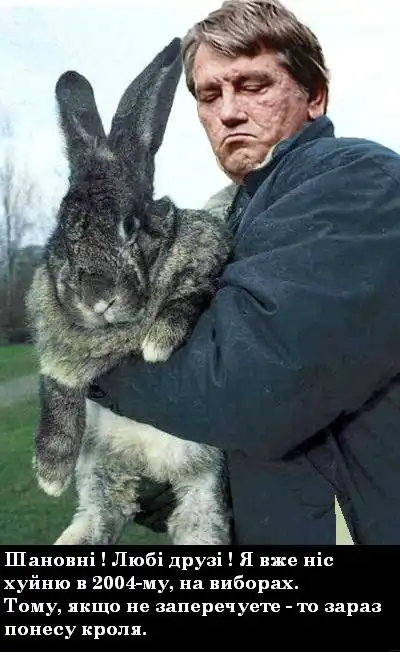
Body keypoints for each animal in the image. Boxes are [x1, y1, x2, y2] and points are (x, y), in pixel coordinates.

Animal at [25, 37, 234, 545]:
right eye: (63, 230)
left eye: (130, 224)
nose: (95, 296)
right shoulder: (56, 353)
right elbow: (57, 393)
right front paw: (51, 472)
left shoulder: (206, 260)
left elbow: (187, 295)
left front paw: (157, 343)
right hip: (103, 481)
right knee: (100, 516)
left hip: (202, 495)